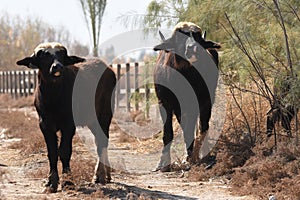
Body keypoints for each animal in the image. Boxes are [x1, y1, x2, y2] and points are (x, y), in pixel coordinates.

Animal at [16, 42, 116, 192]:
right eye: (43, 55)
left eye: (61, 55)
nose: (57, 66)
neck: (53, 98)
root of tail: (108, 69)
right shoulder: (45, 125)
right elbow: (52, 152)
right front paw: (51, 182)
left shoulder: (68, 125)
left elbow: (64, 151)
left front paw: (68, 181)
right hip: (92, 121)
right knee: (99, 141)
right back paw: (106, 174)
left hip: (104, 115)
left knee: (102, 142)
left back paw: (99, 175)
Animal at [152, 22, 220, 172]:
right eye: (180, 36)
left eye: (198, 36)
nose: (193, 48)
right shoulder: (164, 103)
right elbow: (168, 133)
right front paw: (163, 163)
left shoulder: (198, 103)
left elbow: (194, 129)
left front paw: (190, 158)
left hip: (206, 102)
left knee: (202, 127)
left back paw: (202, 153)